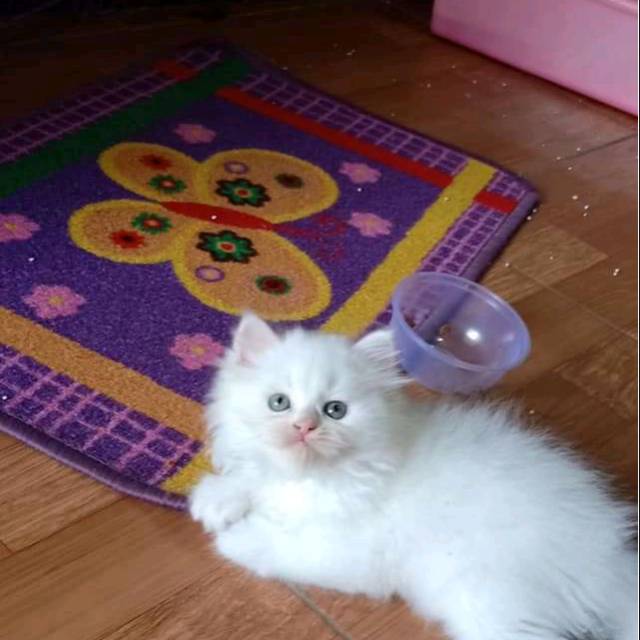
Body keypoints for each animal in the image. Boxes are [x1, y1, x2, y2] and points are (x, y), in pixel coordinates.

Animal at [190, 312, 637, 640]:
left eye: (335, 410)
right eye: (279, 403)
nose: (304, 427)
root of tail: (610, 564)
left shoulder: (345, 551)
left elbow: (278, 547)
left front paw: (235, 536)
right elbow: (254, 476)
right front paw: (216, 499)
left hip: (491, 602)